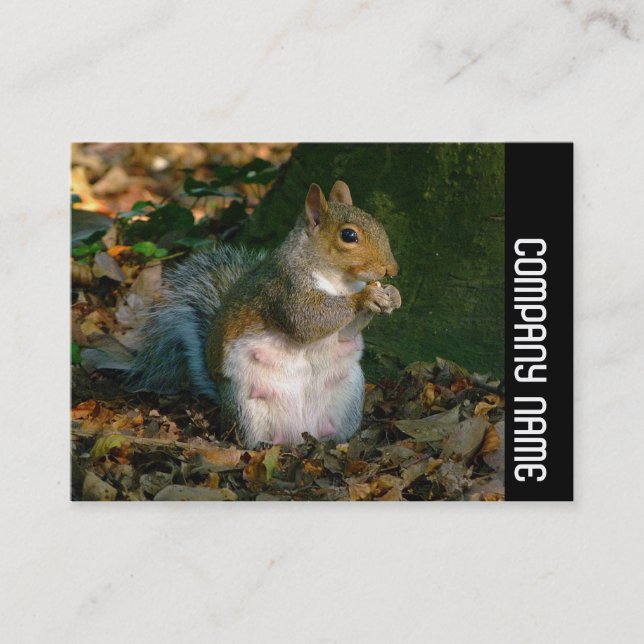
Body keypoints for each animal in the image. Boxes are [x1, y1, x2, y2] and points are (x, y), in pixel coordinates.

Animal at [127, 181, 401, 448]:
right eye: (348, 235)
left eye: (376, 221)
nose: (393, 269)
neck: (339, 281)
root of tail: (298, 433)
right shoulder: (286, 288)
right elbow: (307, 321)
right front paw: (366, 297)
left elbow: (346, 333)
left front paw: (393, 295)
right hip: (245, 404)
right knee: (246, 437)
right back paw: (261, 445)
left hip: (350, 393)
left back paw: (334, 442)